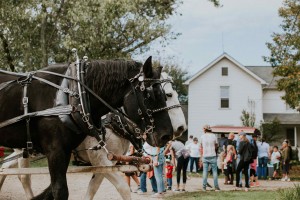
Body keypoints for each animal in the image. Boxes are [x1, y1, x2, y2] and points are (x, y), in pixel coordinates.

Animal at [0, 56, 186, 200]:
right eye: (156, 94)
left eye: (166, 95)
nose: (175, 131)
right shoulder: (61, 152)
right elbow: (61, 191)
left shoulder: (102, 163)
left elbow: (92, 190)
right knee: (24, 176)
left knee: (5, 168)